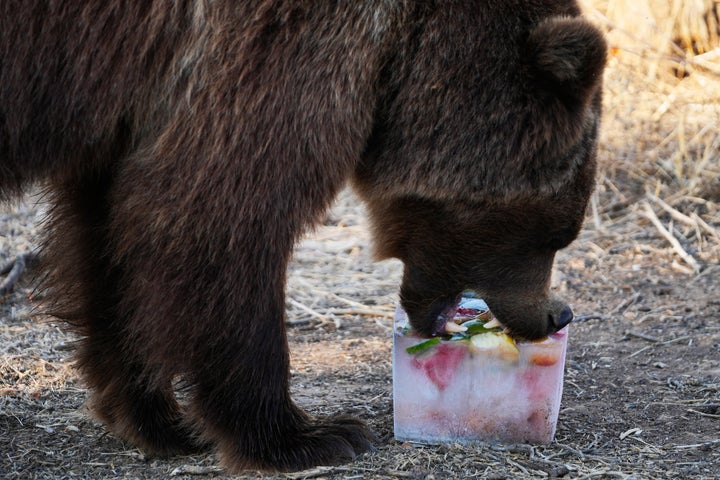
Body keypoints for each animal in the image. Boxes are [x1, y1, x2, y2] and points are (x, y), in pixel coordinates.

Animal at [1, 0, 608, 472]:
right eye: (557, 231)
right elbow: (223, 221)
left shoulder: (126, 107)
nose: (557, 314)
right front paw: (305, 436)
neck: (403, 50)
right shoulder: (265, 53)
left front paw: (157, 420)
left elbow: (103, 238)